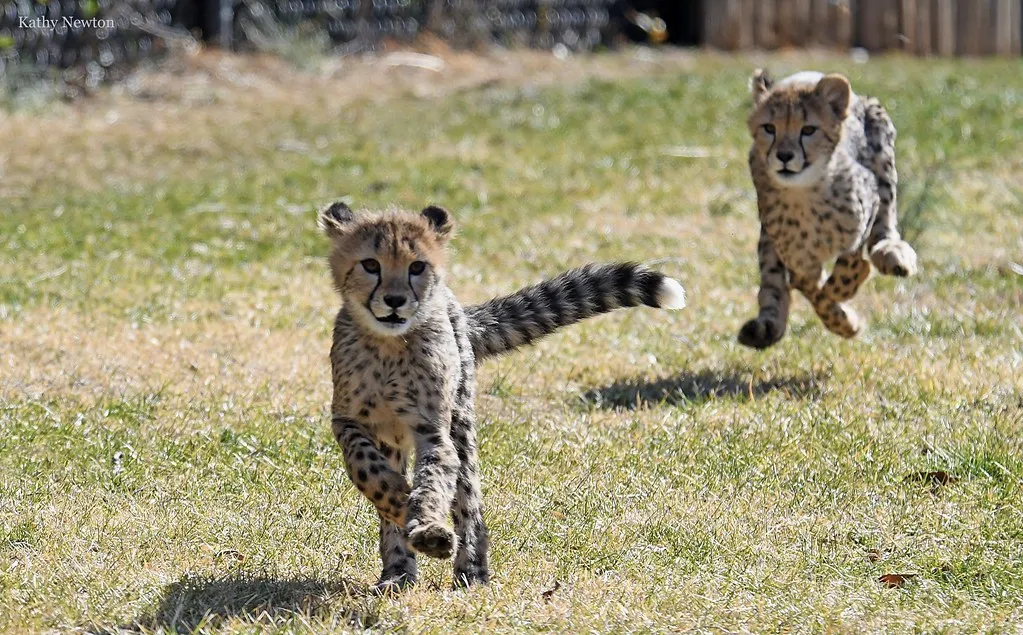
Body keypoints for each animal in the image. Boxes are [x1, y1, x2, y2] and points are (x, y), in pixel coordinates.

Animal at [319, 201, 686, 591]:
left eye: (416, 266)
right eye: (370, 264)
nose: (394, 300)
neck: (388, 344)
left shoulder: (433, 431)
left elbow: (433, 484)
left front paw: (428, 527)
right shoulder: (347, 421)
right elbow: (366, 470)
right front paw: (399, 500)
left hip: (461, 425)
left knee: (468, 503)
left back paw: (470, 571)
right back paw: (398, 571)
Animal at [738, 69, 918, 349]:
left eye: (808, 130)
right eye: (769, 128)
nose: (784, 156)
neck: (805, 194)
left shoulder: (869, 203)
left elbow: (848, 263)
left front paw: (843, 290)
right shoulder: (799, 263)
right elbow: (812, 290)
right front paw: (845, 321)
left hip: (881, 147)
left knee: (885, 227)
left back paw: (893, 254)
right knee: (773, 284)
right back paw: (767, 326)